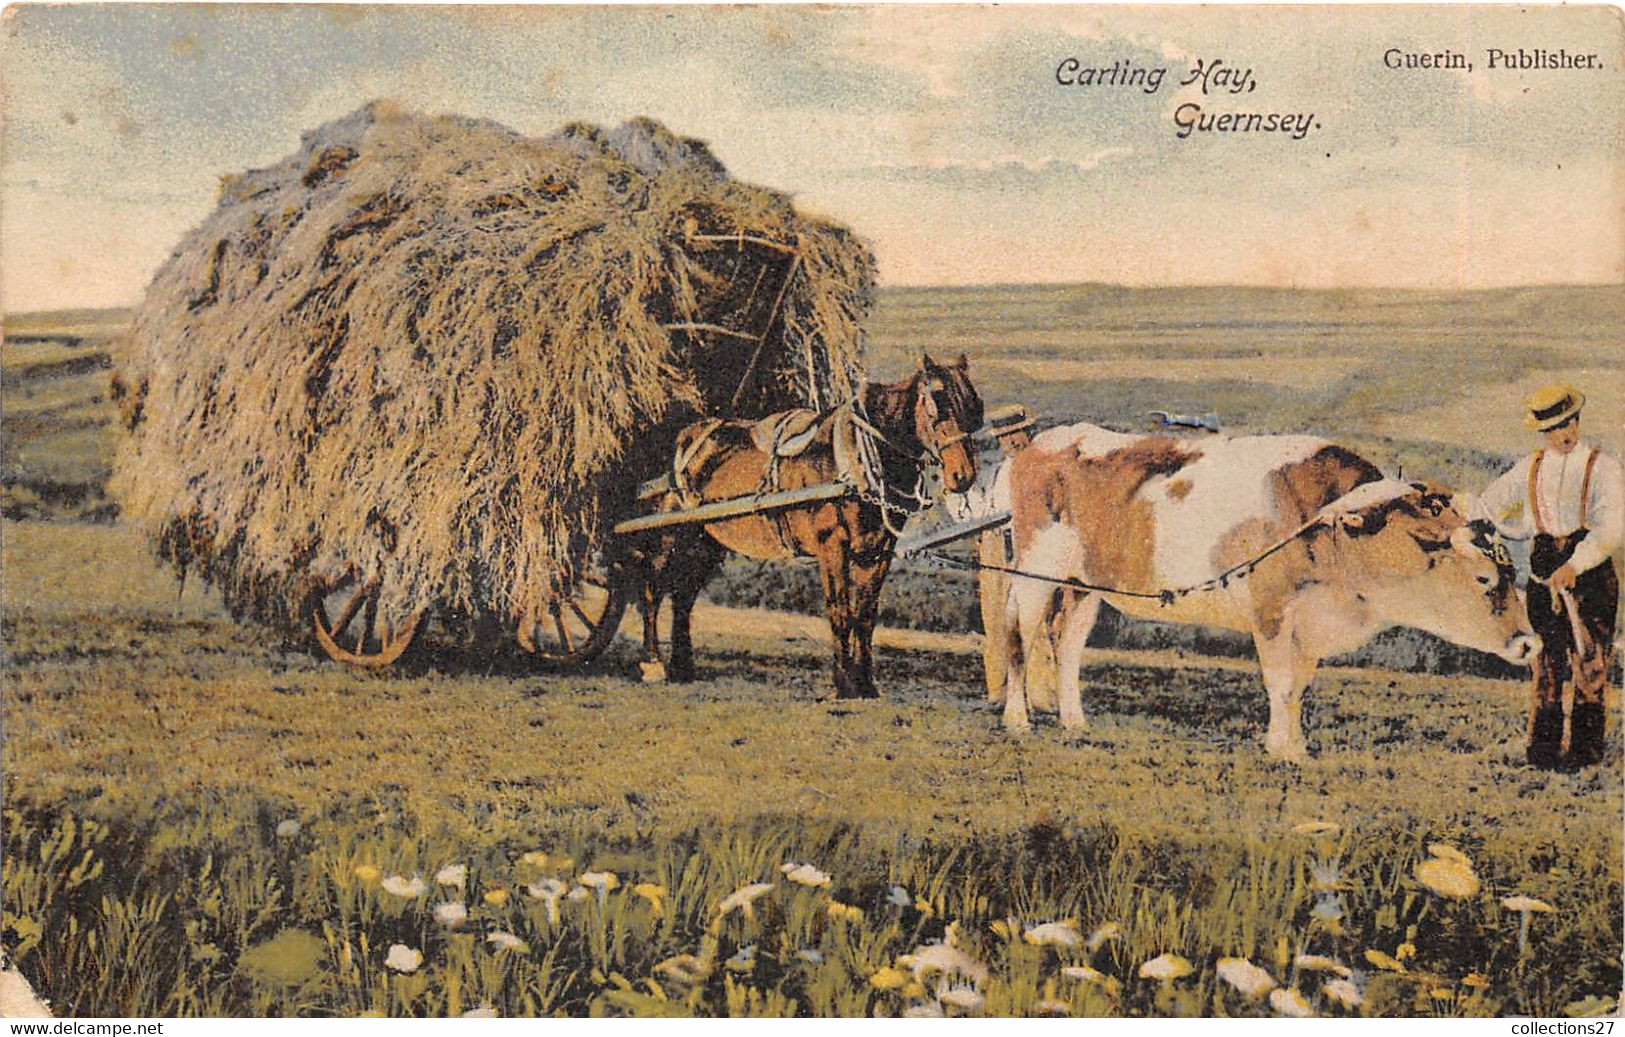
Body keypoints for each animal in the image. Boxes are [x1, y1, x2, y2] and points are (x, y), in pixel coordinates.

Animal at [627, 354, 981, 702]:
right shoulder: (832, 546)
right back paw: (654, 663)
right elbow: (839, 611)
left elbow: (865, 616)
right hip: (670, 536)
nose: (963, 476)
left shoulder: (877, 552)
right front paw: (843, 683)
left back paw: (682, 667)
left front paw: (866, 684)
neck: (853, 460)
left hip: (705, 542)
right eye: (938, 405)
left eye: (972, 408)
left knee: (683, 596)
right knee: (651, 589)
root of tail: (682, 438)